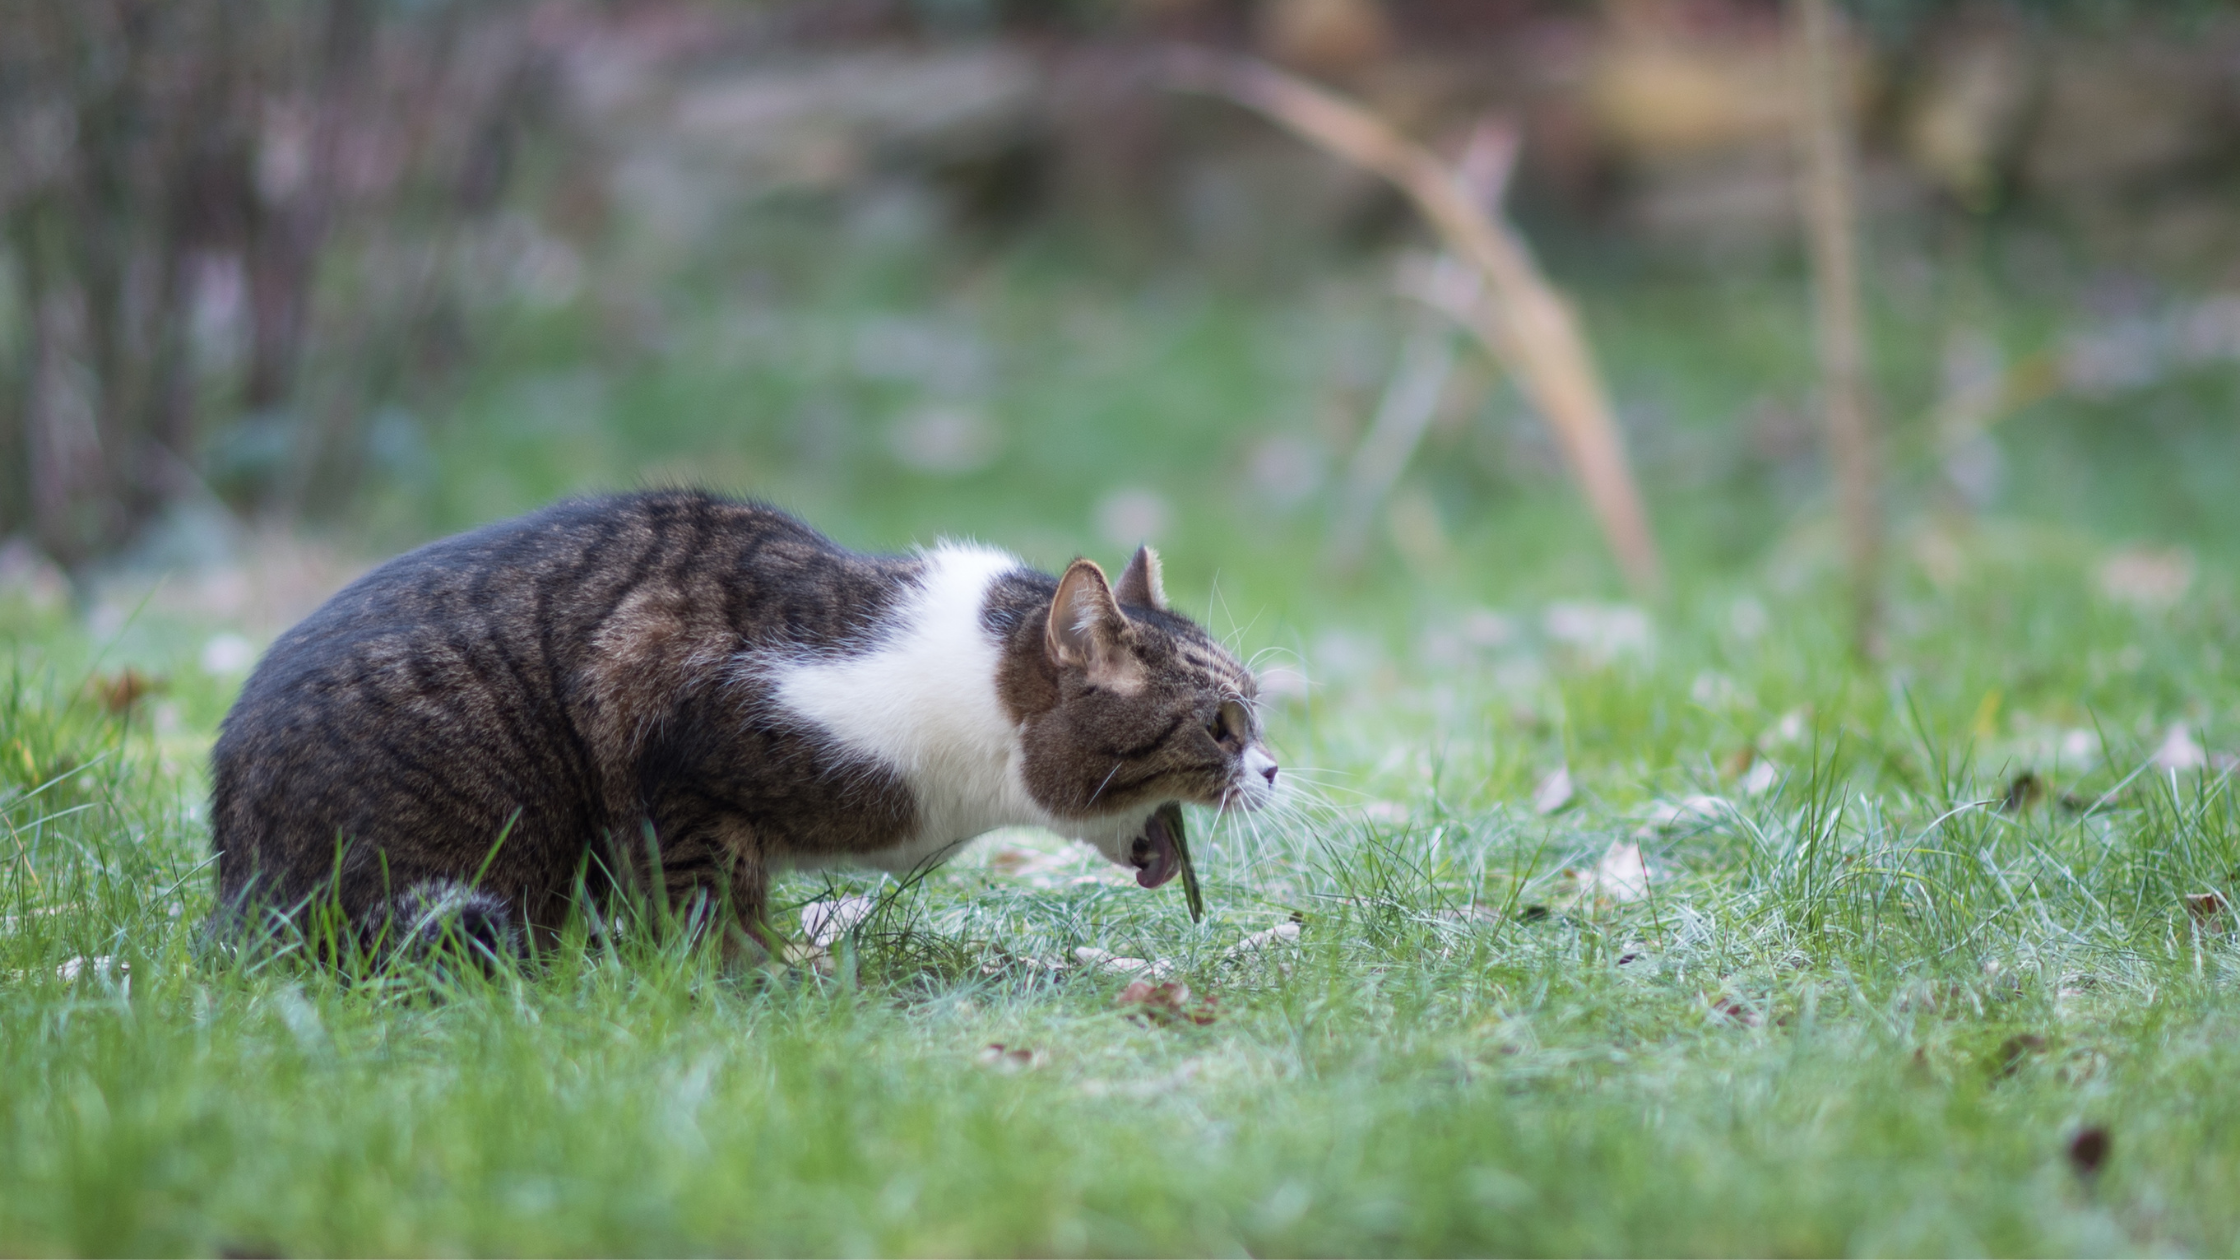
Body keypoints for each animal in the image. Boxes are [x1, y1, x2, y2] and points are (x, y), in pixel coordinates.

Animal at [218, 486, 1290, 955]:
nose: (1276, 769)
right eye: (1220, 725)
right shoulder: (673, 742)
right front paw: (752, 984)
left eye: (1253, 716)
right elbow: (709, 901)